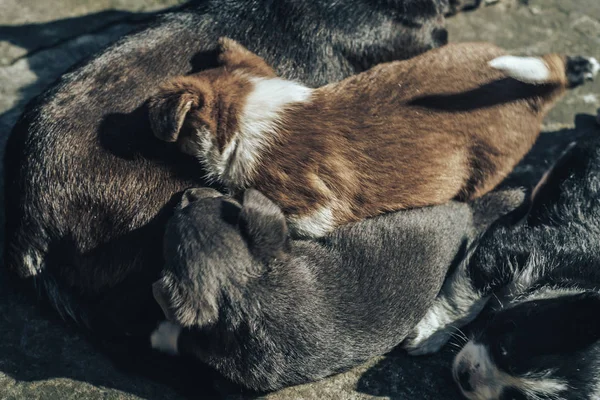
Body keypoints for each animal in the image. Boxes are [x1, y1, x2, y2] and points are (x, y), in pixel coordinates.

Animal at [151, 188, 524, 390]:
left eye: (174, 222)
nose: (185, 193)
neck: (252, 290)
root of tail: (468, 216)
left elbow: (186, 340)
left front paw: (161, 334)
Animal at [400, 127, 600, 396]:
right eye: (504, 346)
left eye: (514, 398)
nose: (464, 377)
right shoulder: (513, 245)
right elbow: (465, 298)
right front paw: (426, 335)